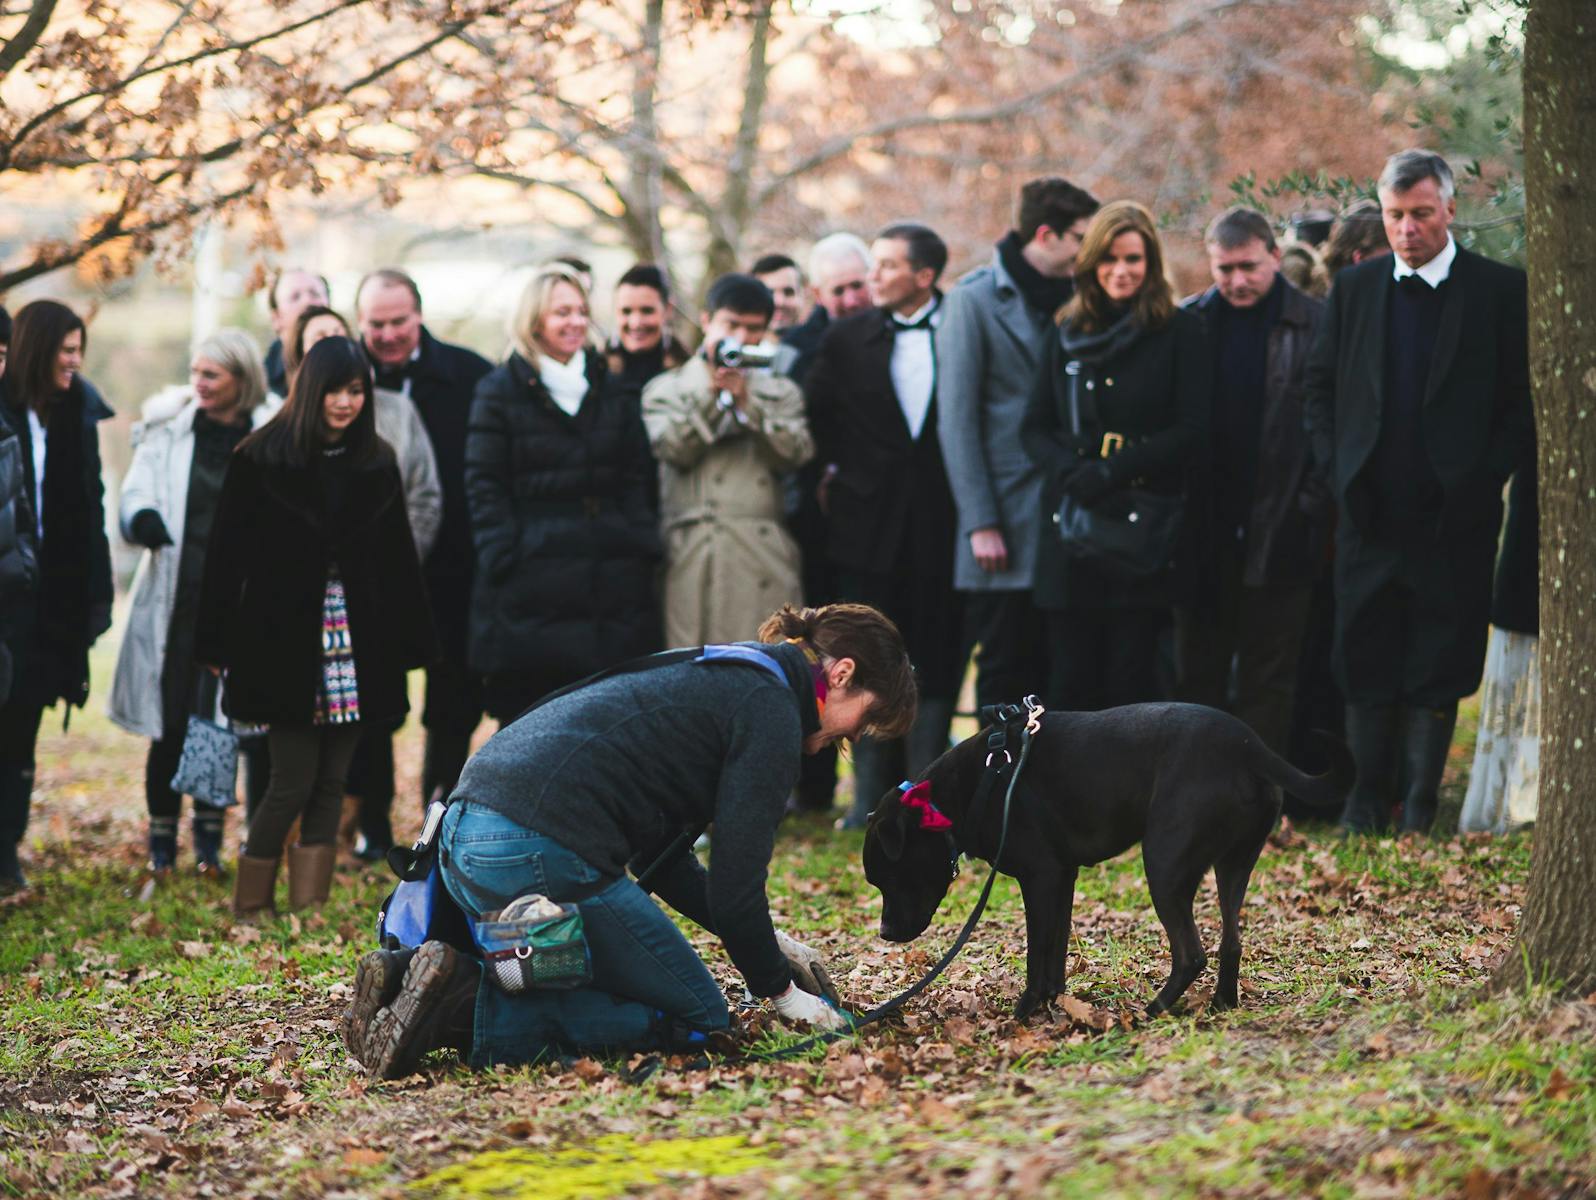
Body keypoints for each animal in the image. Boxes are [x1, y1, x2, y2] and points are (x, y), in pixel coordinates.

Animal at [868, 702, 1353, 1021]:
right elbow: (1056, 950)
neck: (984, 778)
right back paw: (1221, 1004)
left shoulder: (1040, 878)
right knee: (1231, 941)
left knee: (1191, 953)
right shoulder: (1061, 879)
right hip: (1234, 865)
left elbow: (1036, 953)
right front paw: (1053, 1002)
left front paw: (1025, 1011)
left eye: (890, 875)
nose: (885, 932)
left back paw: (1152, 1010)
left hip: (1164, 864)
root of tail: (1249, 746)